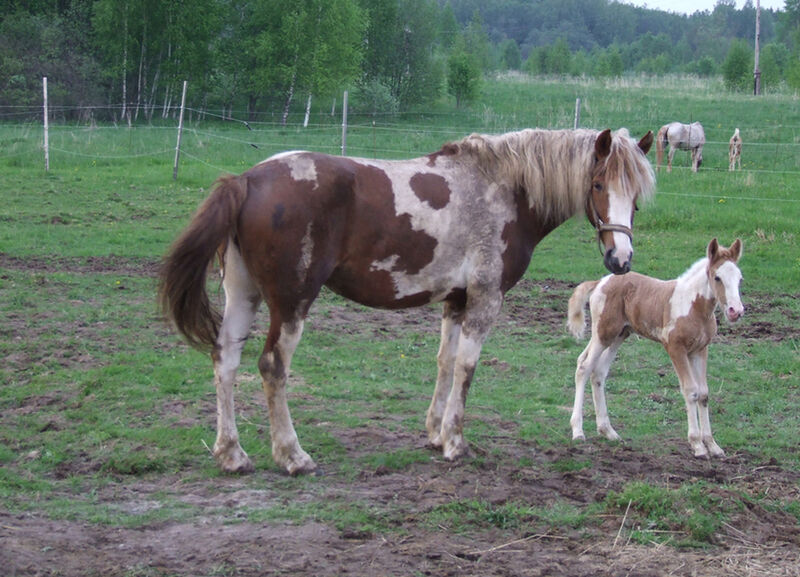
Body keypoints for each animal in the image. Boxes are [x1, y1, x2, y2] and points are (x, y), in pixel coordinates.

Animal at [161, 126, 656, 472]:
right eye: (598, 185)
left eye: (636, 195)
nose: (620, 259)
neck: (502, 188)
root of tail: (247, 179)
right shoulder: (485, 299)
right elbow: (467, 368)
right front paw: (455, 442)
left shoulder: (455, 300)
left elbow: (445, 362)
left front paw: (435, 433)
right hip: (291, 303)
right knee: (271, 367)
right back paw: (292, 455)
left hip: (243, 295)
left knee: (225, 360)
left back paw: (232, 454)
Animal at [568, 238, 744, 460]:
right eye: (717, 277)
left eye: (740, 279)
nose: (736, 311)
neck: (693, 306)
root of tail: (600, 282)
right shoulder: (675, 348)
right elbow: (691, 391)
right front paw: (697, 445)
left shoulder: (700, 350)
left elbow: (703, 393)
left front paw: (713, 445)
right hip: (603, 333)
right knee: (584, 367)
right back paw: (578, 431)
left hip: (619, 334)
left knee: (598, 372)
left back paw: (608, 431)